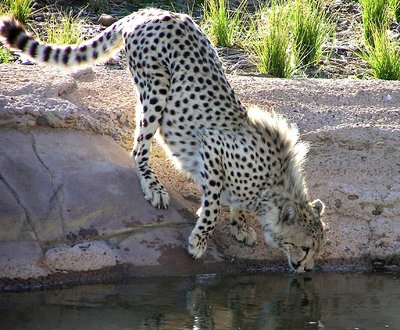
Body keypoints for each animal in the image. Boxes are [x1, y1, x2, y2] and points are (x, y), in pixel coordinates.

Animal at [0, 8, 324, 270]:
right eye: (305, 247)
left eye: (316, 249)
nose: (305, 269)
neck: (274, 185)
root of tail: (151, 11)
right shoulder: (212, 150)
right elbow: (213, 206)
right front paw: (200, 240)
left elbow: (231, 204)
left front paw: (239, 224)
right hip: (156, 87)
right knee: (138, 148)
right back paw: (153, 185)